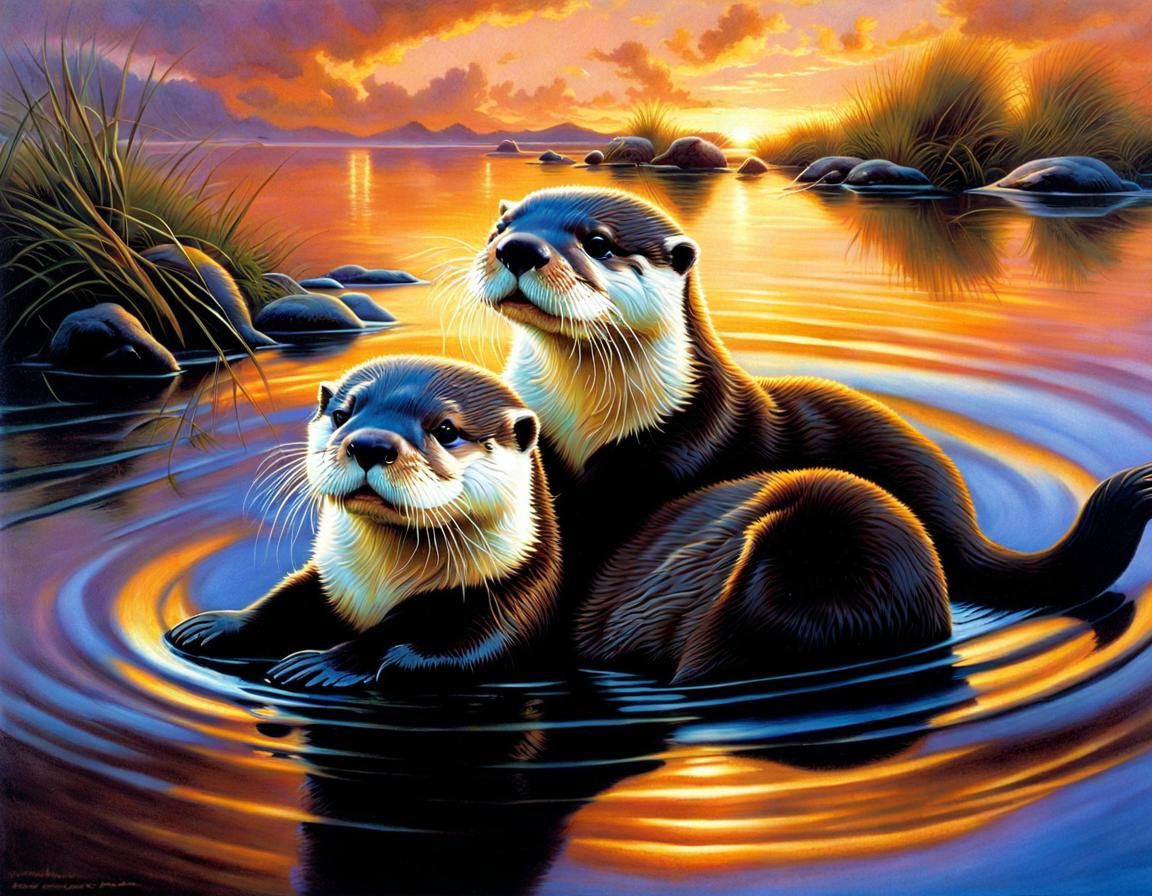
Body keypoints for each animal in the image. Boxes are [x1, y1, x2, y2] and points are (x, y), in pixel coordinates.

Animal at [166, 356, 561, 688]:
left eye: (447, 430)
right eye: (342, 415)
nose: (370, 444)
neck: (381, 586)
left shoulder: (515, 596)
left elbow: (449, 650)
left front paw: (323, 664)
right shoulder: (330, 578)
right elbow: (283, 601)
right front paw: (216, 624)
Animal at [469, 186, 1152, 680]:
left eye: (599, 241)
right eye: (502, 226)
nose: (520, 248)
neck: (586, 427)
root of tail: (959, 513)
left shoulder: (682, 456)